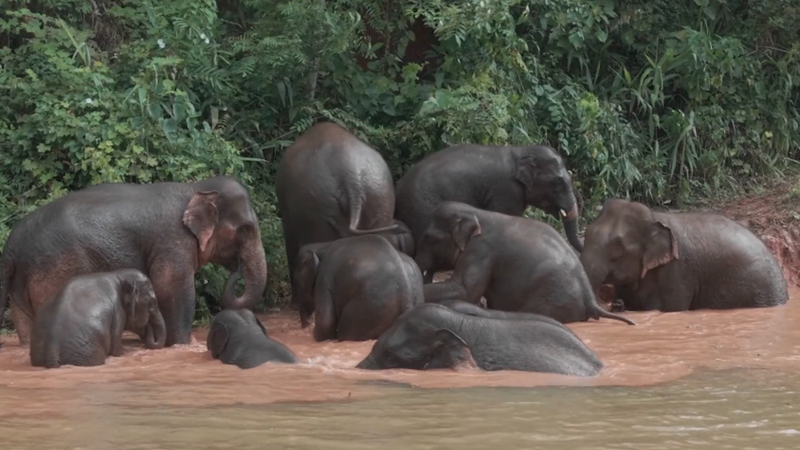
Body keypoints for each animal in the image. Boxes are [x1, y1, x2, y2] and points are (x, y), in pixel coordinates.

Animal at [0, 175, 267, 348]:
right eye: (245, 230)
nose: (236, 270)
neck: (196, 188)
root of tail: (11, 244)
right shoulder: (172, 242)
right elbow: (172, 289)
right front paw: (184, 345)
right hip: (55, 269)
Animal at [29, 269, 166, 368]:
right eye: (153, 302)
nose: (148, 326)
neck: (118, 275)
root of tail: (52, 350)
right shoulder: (118, 311)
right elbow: (116, 349)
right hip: (86, 353)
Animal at [293, 234, 424, 341]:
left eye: (297, 282)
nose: (307, 326)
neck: (321, 245)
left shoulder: (324, 278)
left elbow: (326, 322)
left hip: (367, 309)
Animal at [416, 201, 634, 325]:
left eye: (428, 237)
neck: (475, 213)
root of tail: (590, 300)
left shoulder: (480, 251)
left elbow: (464, 290)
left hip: (551, 298)